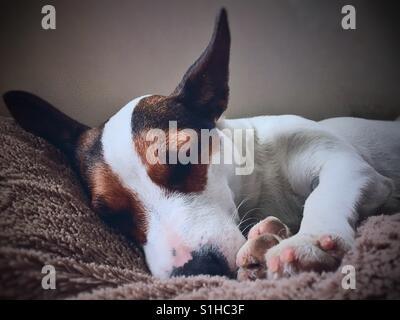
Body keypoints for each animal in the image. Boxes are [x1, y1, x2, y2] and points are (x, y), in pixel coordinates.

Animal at [3, 8, 400, 280]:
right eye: (111, 215)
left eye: (183, 158)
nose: (196, 270)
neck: (260, 184)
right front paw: (264, 242)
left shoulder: (347, 165)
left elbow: (326, 193)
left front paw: (311, 240)